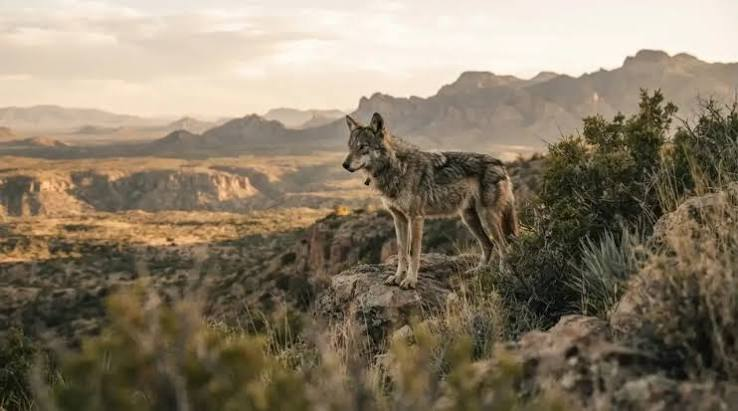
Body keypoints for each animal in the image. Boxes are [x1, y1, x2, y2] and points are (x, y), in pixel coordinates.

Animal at [342, 112, 519, 289]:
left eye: (363, 146)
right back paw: (477, 271)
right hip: (469, 218)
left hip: (487, 217)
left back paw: (504, 273)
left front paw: (410, 280)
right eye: (350, 147)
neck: (395, 167)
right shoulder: (399, 218)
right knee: (488, 244)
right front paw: (397, 277)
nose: (344, 165)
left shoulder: (415, 218)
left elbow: (412, 252)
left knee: (503, 246)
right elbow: (401, 250)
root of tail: (501, 164)